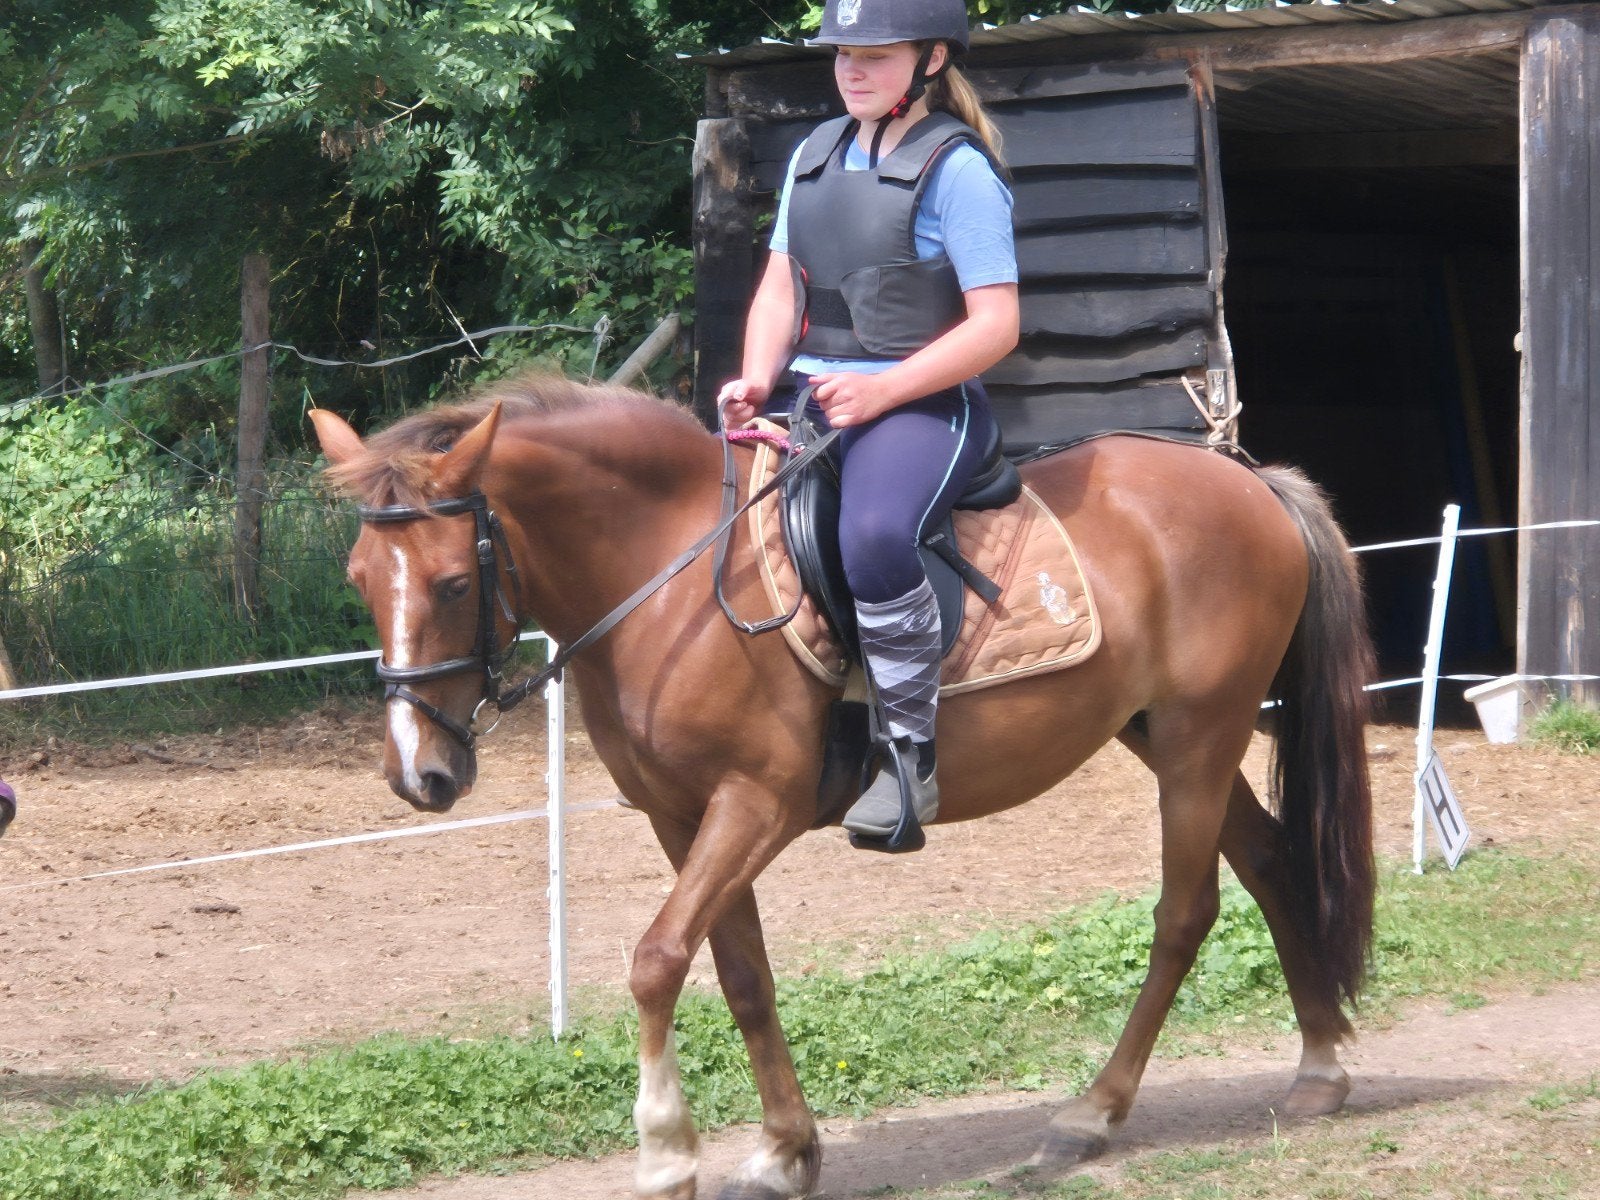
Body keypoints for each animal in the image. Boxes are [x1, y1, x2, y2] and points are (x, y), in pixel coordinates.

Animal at [311, 372, 1376, 1200]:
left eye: (454, 584)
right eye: (359, 577)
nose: (419, 773)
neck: (672, 579)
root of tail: (1250, 481)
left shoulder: (756, 805)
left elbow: (657, 960)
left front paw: (665, 1153)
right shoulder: (681, 817)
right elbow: (741, 975)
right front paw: (785, 1153)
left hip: (1200, 736)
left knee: (1184, 912)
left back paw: (1094, 1113)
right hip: (1166, 735)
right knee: (1270, 860)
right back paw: (1319, 1067)